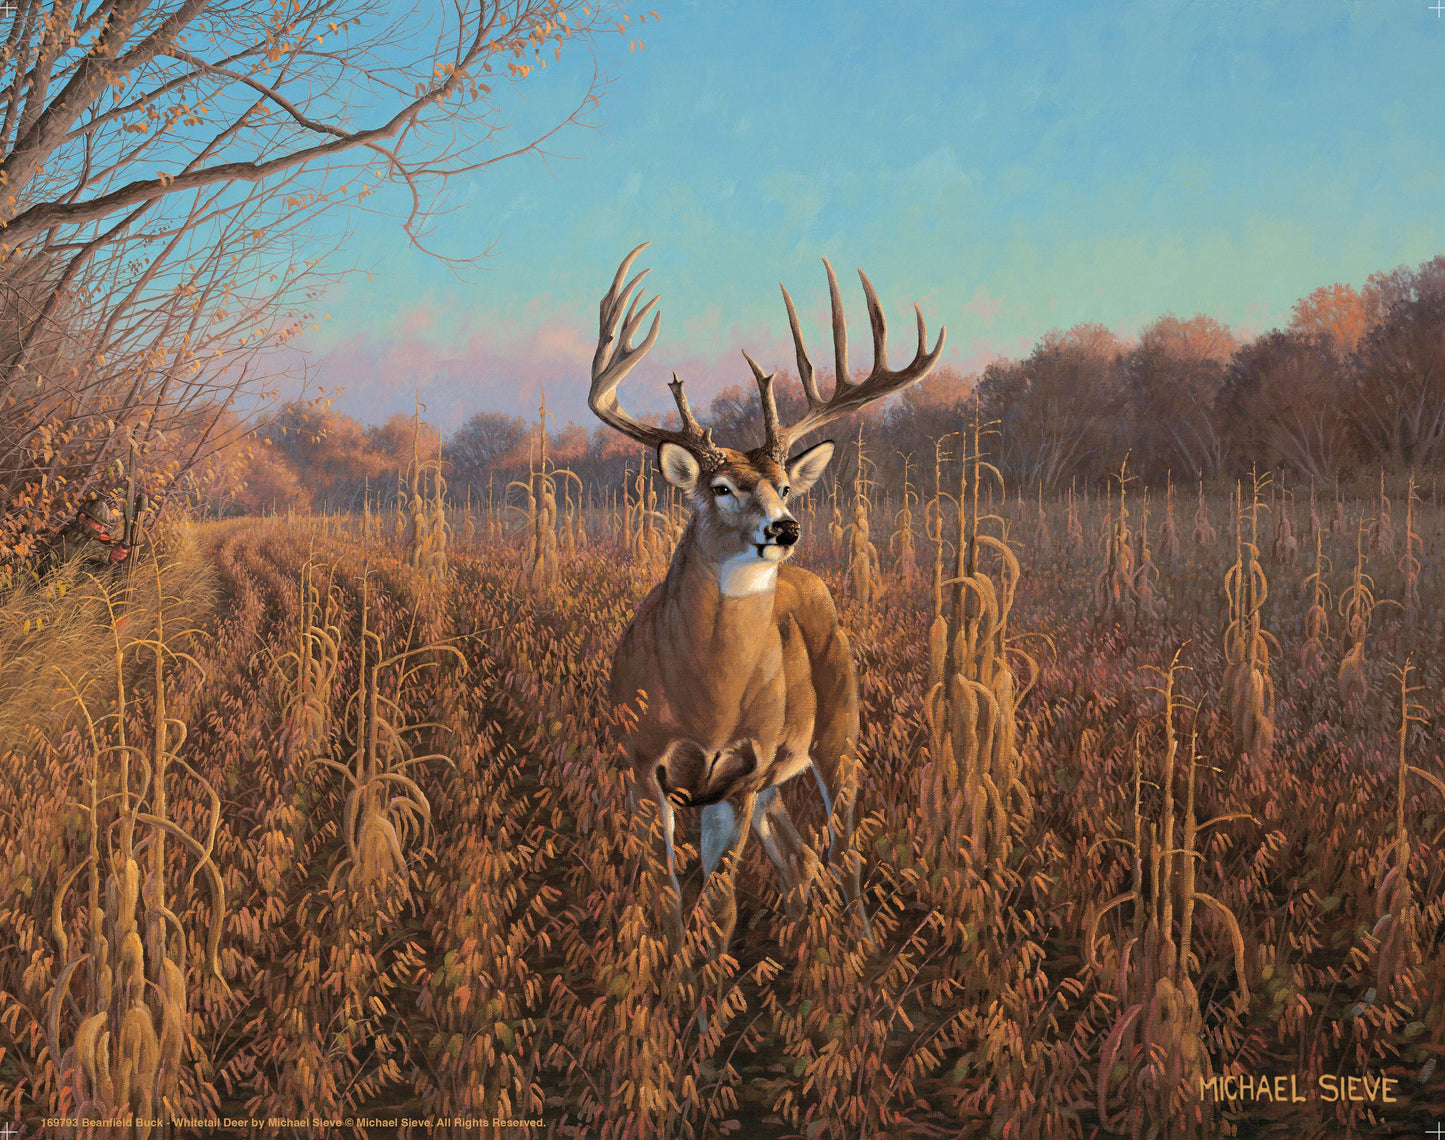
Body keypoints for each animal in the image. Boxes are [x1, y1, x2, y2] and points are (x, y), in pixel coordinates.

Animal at [590, 242, 945, 975]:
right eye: (721, 486)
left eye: (783, 484)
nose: (784, 527)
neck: (705, 700)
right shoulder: (642, 764)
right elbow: (671, 899)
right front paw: (671, 987)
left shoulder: (743, 774)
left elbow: (719, 906)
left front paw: (705, 991)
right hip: (778, 775)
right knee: (801, 857)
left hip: (841, 730)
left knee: (842, 847)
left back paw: (864, 952)